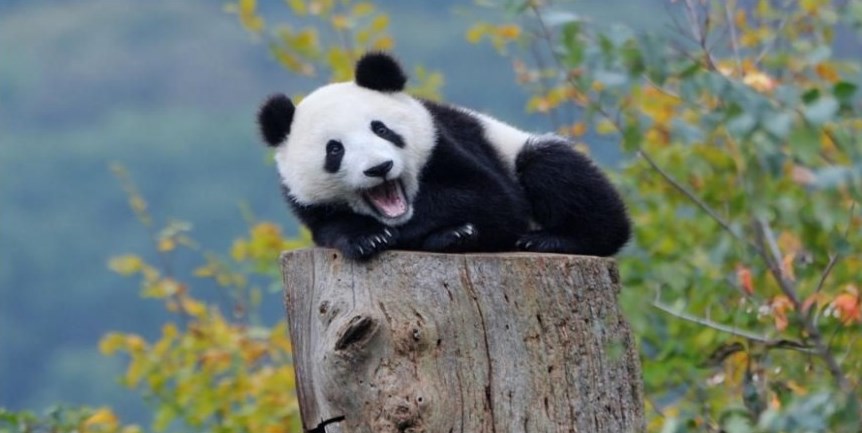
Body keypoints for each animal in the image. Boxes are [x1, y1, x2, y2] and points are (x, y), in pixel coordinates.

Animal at [255, 50, 628, 260]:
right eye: (335, 149)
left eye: (381, 129)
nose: (379, 168)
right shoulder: (307, 204)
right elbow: (330, 227)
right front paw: (368, 238)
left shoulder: (447, 142)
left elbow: (492, 198)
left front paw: (439, 230)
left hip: (517, 149)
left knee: (555, 171)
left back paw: (551, 239)